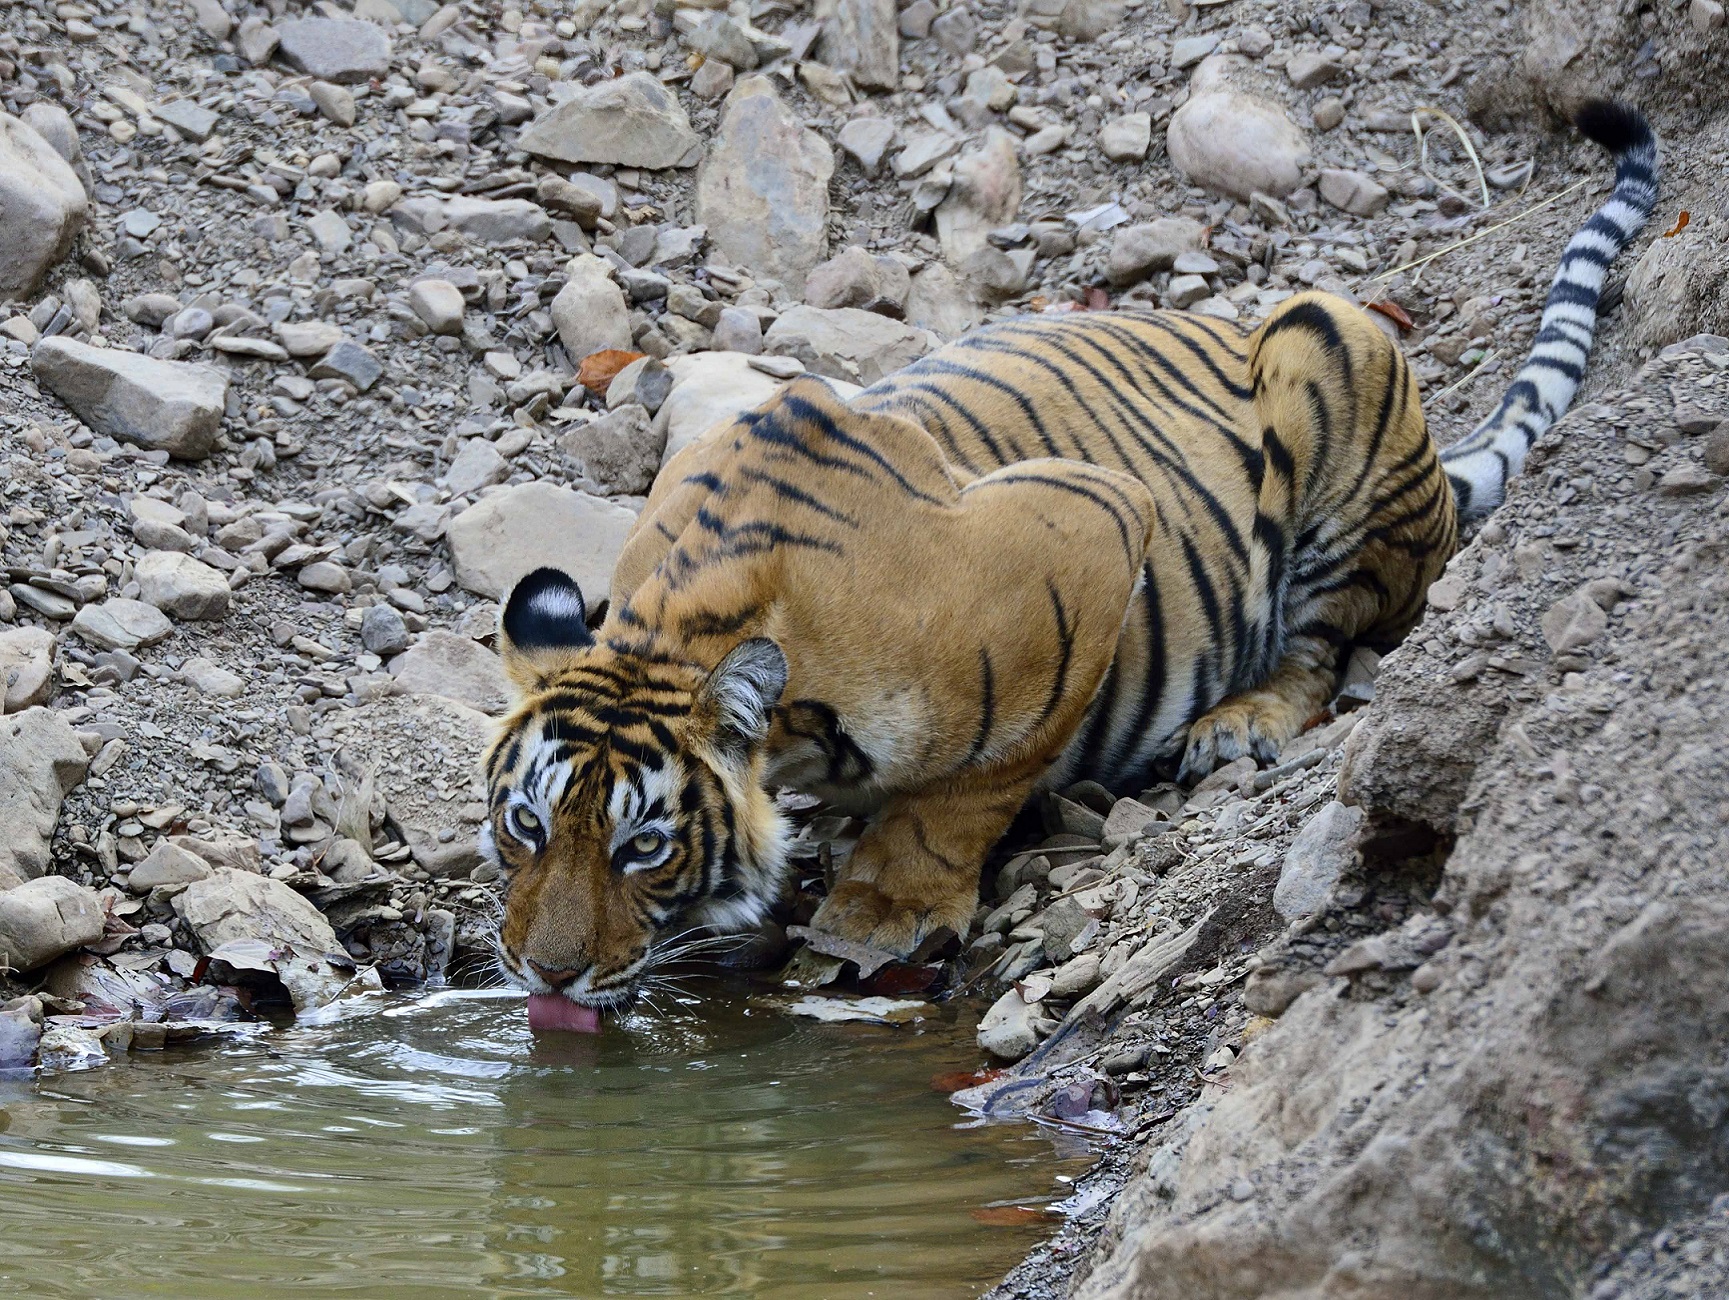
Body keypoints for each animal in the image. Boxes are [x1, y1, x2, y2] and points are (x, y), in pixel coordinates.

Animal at [480, 98, 1652, 1023]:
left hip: (1329, 342)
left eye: (643, 847)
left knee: (1321, 651)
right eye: (525, 825)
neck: (684, 618)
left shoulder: (1093, 529)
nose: (546, 976)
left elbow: (967, 792)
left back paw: (1237, 725)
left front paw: (880, 912)